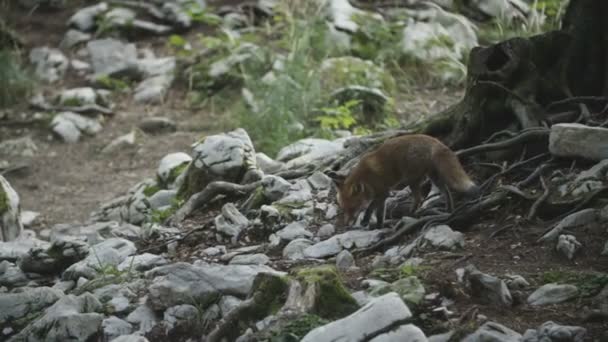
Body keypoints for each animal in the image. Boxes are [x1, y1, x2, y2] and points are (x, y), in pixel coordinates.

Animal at [328, 135, 480, 228]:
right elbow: (379, 214)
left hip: (412, 180)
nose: (347, 224)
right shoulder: (381, 196)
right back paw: (449, 211)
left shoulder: (383, 193)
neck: (367, 179)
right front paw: (379, 227)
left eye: (353, 208)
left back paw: (412, 214)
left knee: (419, 199)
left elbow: (371, 208)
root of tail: (434, 140)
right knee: (446, 192)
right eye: (344, 209)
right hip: (433, 177)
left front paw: (366, 220)